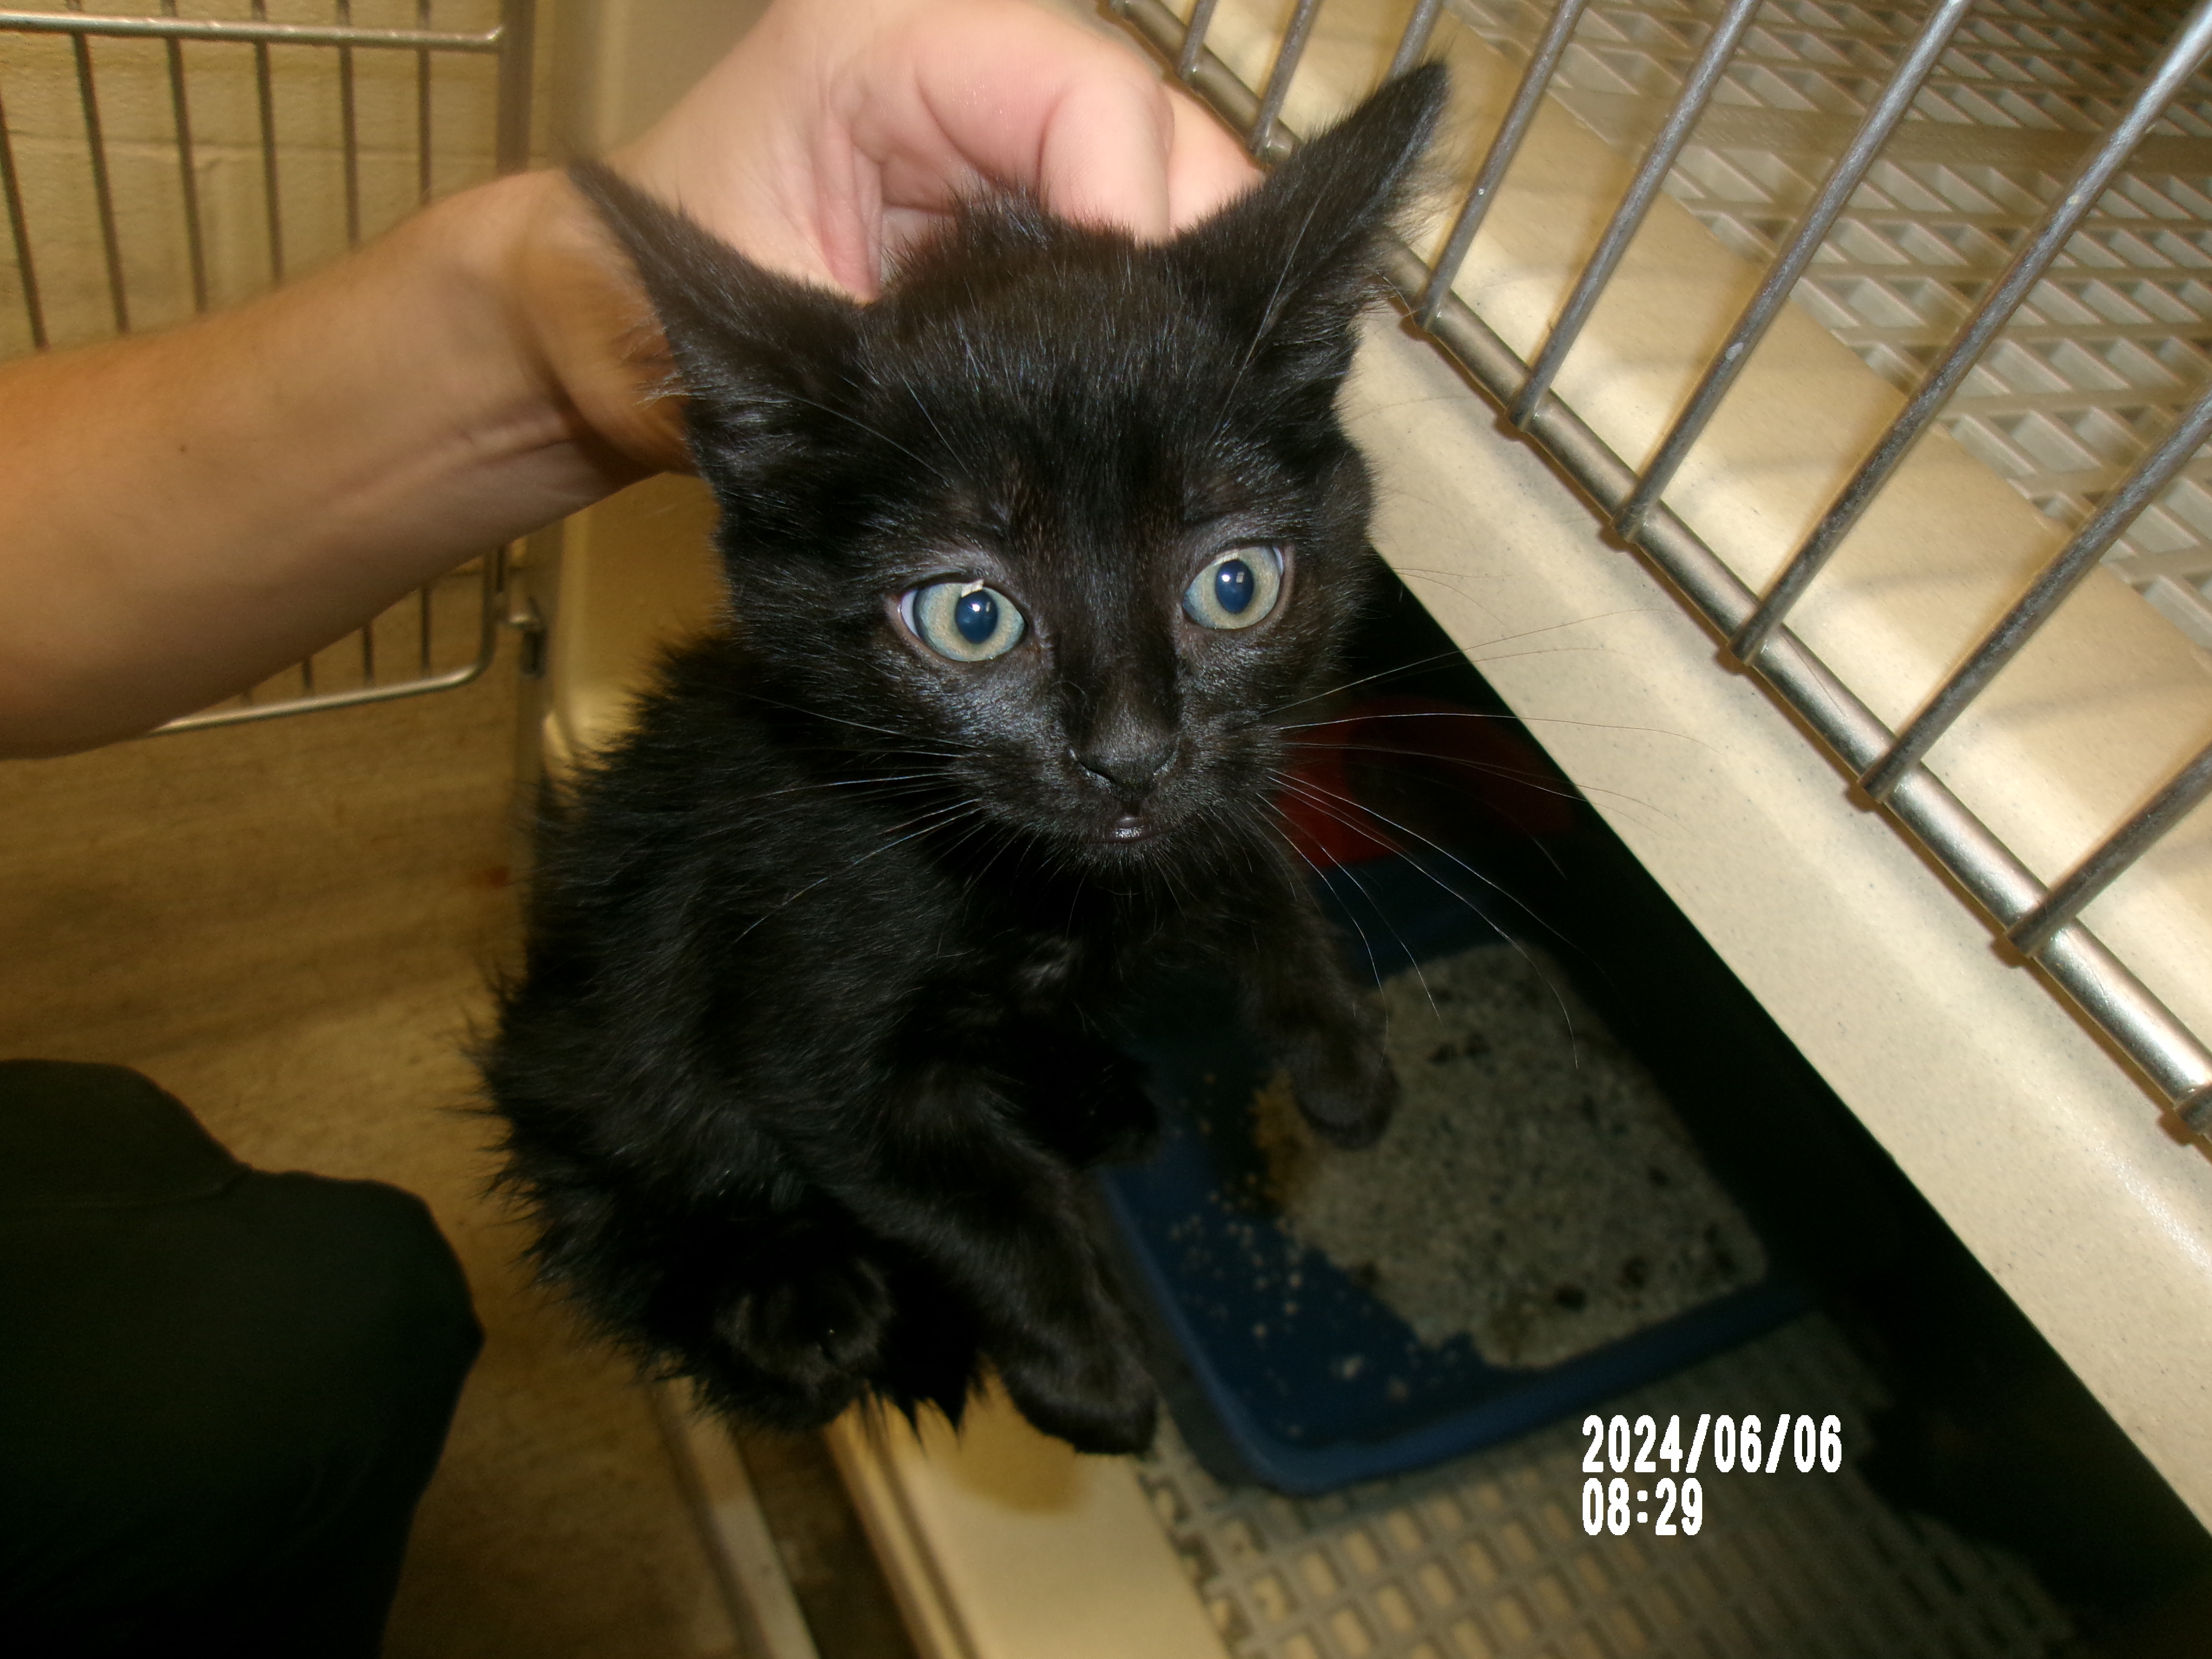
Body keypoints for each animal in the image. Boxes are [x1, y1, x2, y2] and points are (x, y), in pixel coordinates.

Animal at [482, 68, 1442, 1451]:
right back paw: (792, 1300)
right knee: (611, 1199)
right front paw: (1089, 1374)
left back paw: (1092, 1097)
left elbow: (1247, 852)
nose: (1129, 755)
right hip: (595, 1054)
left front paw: (1342, 1058)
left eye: (1236, 585)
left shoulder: (1193, 806)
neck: (1042, 893)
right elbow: (969, 1199)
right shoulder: (806, 1008)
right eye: (971, 616)